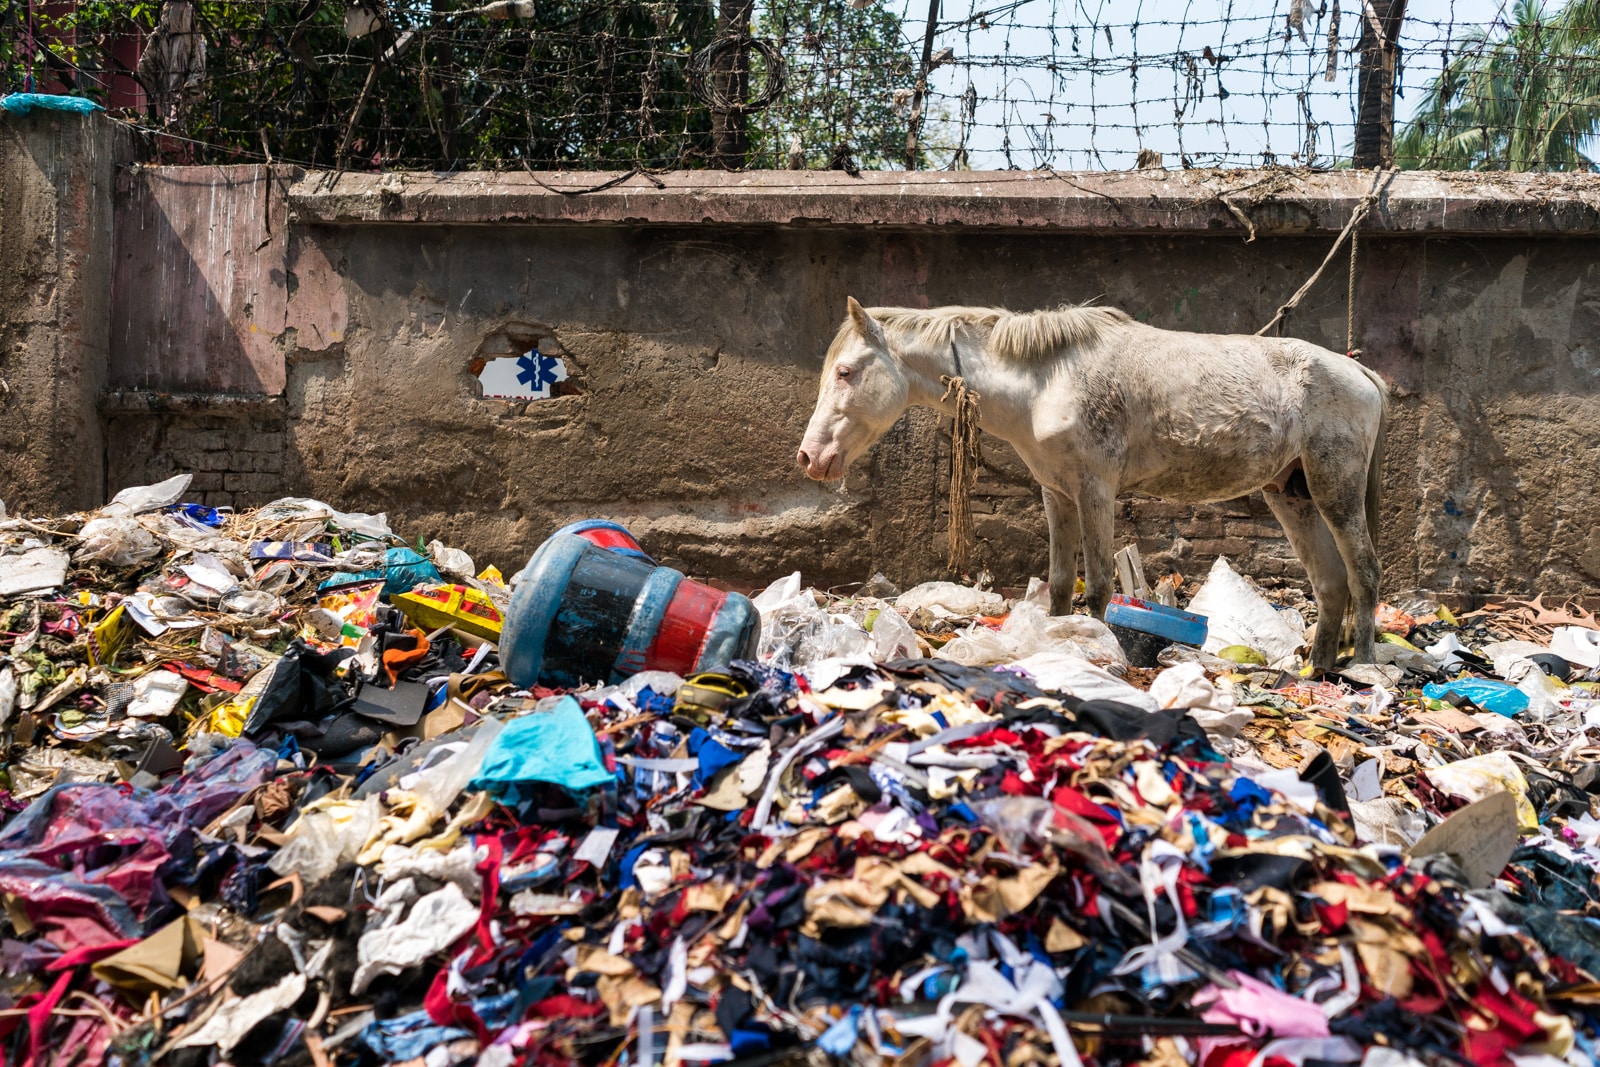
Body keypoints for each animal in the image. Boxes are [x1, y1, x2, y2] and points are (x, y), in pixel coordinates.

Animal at [800, 299, 1388, 668]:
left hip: (1335, 489)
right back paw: (1317, 669)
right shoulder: (1057, 493)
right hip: (1292, 494)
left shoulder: (1095, 490)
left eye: (846, 373)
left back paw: (1362, 667)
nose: (810, 457)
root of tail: (1361, 374)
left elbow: (1100, 585)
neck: (1043, 381)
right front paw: (1056, 644)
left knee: (1363, 574)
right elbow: (1062, 582)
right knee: (1330, 583)